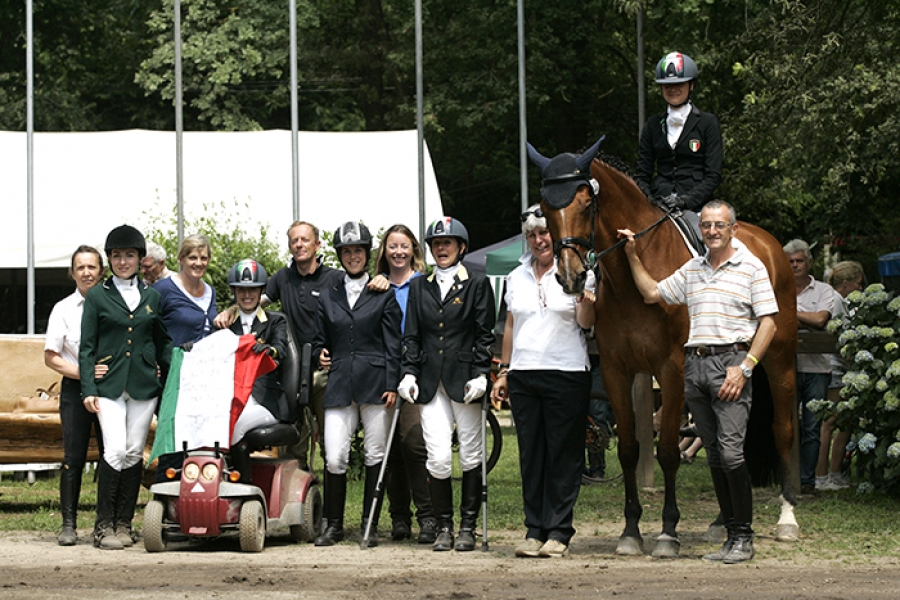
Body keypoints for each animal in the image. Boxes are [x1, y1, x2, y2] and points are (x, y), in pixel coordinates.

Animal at [524, 142, 800, 556]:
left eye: (586, 204)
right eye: (545, 205)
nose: (570, 277)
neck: (633, 278)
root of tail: (768, 242)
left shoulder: (671, 370)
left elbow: (668, 450)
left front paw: (668, 533)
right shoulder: (616, 370)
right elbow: (629, 449)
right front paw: (630, 532)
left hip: (779, 359)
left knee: (782, 429)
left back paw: (787, 518)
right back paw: (721, 523)